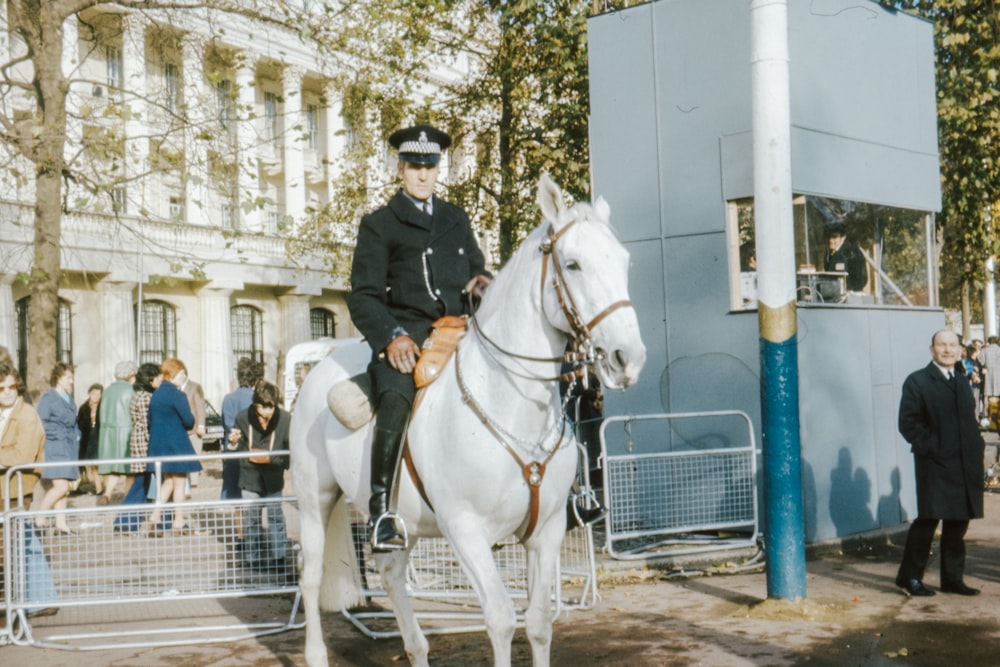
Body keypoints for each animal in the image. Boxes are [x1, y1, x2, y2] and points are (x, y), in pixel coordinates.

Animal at [290, 176, 648, 667]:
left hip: (404, 522)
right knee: (309, 574)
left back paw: (416, 647)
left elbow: (539, 622)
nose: (627, 359)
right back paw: (316, 653)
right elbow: (500, 618)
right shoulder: (466, 530)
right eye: (573, 264)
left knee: (390, 571)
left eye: (625, 261)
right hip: (316, 499)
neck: (510, 405)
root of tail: (319, 366)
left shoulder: (547, 531)